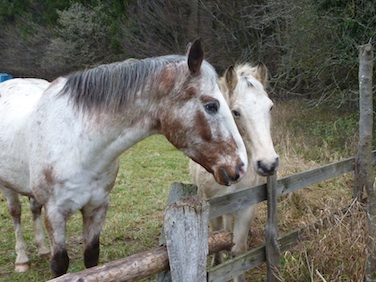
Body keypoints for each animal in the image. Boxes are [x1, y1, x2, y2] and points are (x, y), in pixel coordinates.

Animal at [0, 39, 248, 278]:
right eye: (211, 105)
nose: (240, 166)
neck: (77, 144)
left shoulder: (97, 207)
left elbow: (92, 259)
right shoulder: (55, 213)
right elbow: (59, 265)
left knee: (33, 209)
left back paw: (42, 248)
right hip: (8, 187)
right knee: (16, 213)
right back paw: (22, 260)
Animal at [191, 62, 280, 282]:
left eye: (270, 107)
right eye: (236, 112)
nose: (268, 164)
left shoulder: (245, 208)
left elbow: (238, 252)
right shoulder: (212, 207)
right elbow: (216, 242)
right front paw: (217, 264)